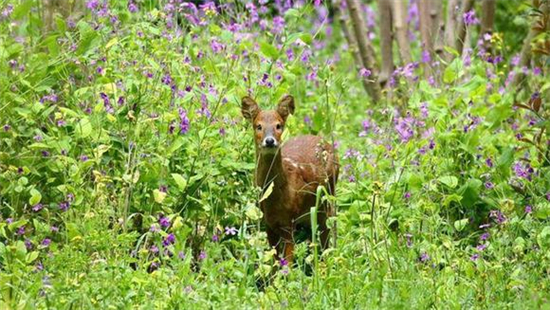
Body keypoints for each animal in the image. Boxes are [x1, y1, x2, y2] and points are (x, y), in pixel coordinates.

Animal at [243, 94, 340, 264]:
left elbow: (287, 262)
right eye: (258, 126)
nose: (269, 141)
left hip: (328, 197)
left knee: (328, 232)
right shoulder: (268, 222)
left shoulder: (290, 221)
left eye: (278, 125)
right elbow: (274, 261)